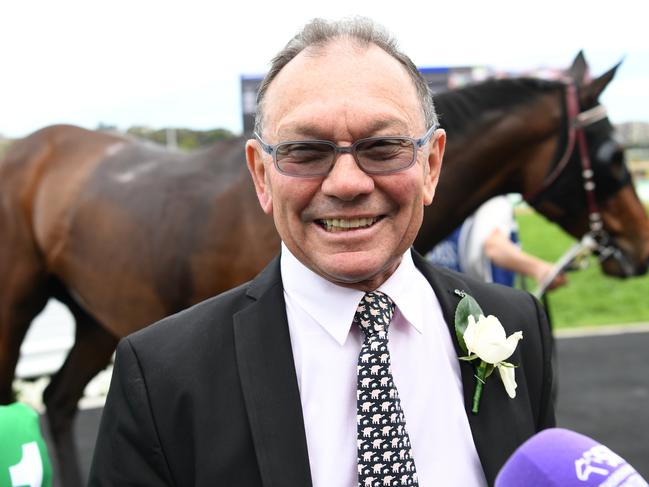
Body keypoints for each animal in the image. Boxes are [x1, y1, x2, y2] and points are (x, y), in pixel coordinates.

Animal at [1, 53, 648, 484]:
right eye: (613, 155)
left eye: (382, 147)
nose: (639, 247)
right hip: (20, 306)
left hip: (95, 315)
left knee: (58, 399)